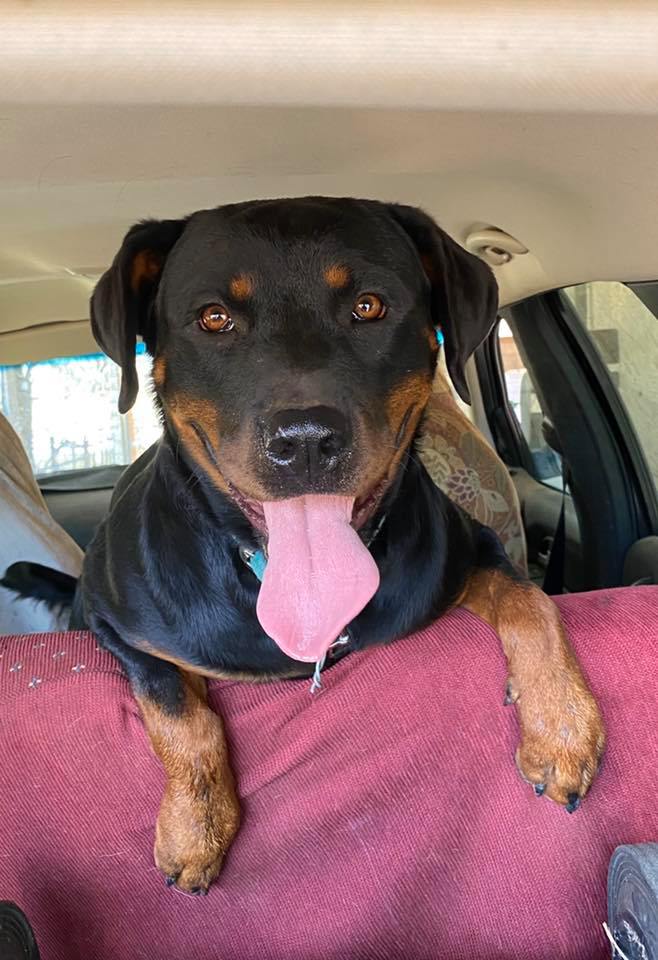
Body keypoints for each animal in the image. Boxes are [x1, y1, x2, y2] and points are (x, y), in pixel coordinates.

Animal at [3, 197, 605, 895]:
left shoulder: (468, 548)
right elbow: (178, 710)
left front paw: (562, 725)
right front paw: (194, 824)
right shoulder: (114, 625)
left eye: (369, 305)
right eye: (214, 318)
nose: (307, 440)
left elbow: (531, 601)